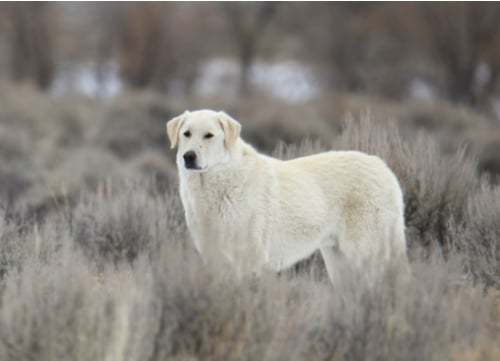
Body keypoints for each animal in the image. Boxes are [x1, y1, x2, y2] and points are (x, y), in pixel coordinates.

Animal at [168, 108, 410, 282]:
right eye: (186, 134)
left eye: (209, 136)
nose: (189, 156)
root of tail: (384, 168)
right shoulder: (214, 257)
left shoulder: (249, 260)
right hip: (338, 262)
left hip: (365, 254)